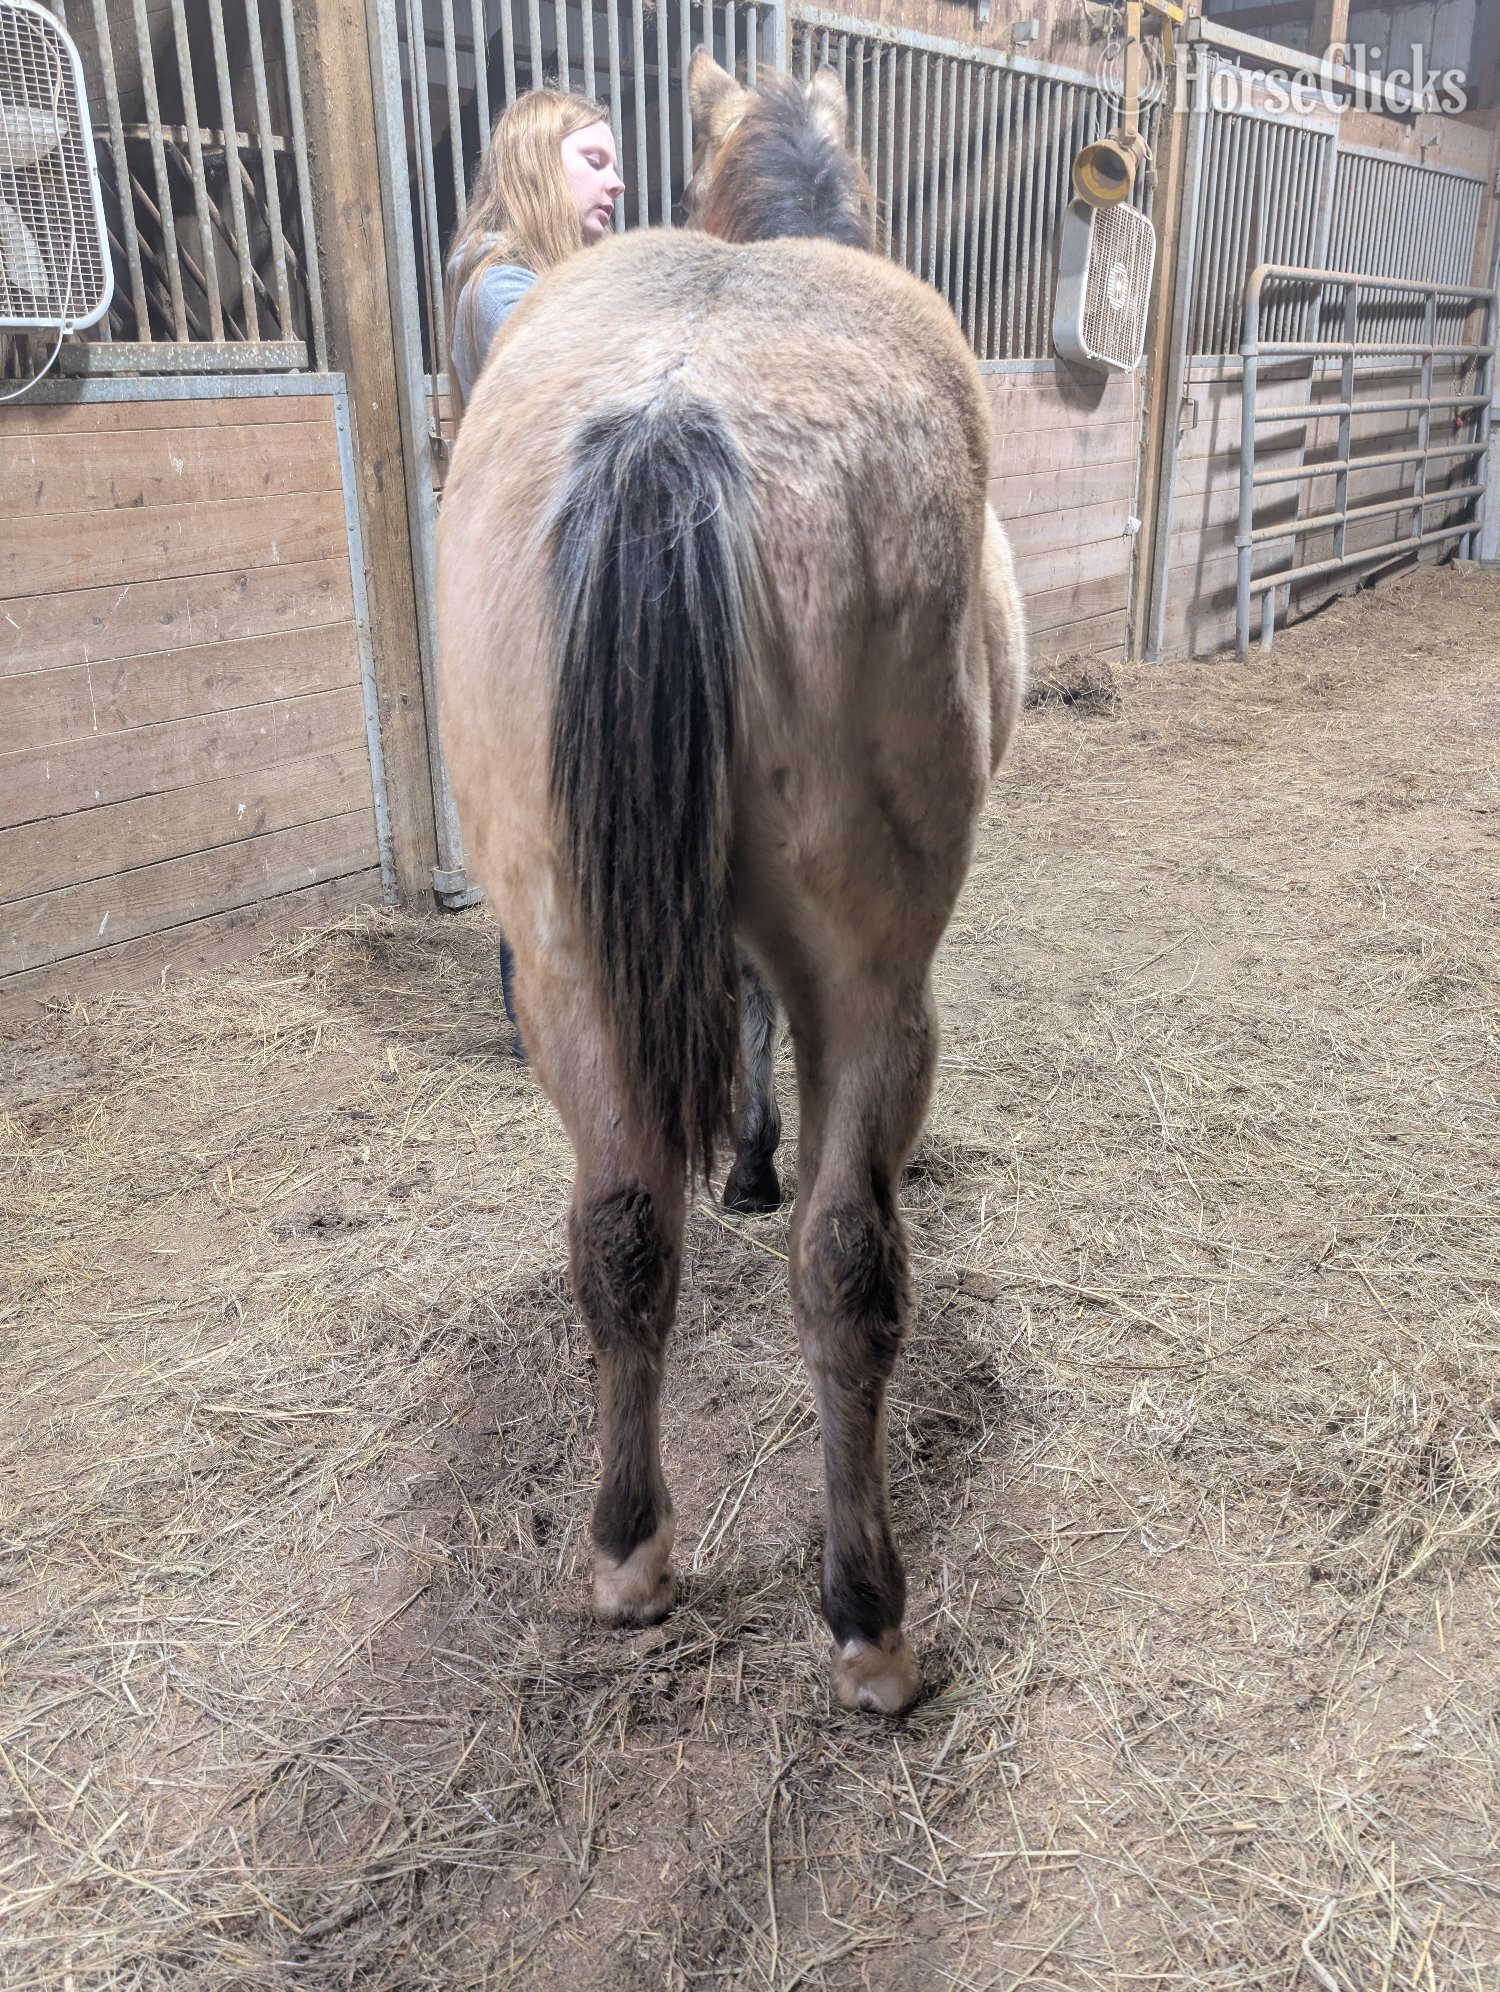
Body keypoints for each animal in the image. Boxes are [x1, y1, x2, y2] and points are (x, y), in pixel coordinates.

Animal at [436, 50, 1026, 1715]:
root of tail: (673, 406)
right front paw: (761, 1162)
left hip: (567, 963)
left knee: (623, 1231)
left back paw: (631, 1556)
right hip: (882, 983)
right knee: (848, 1266)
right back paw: (870, 1622)